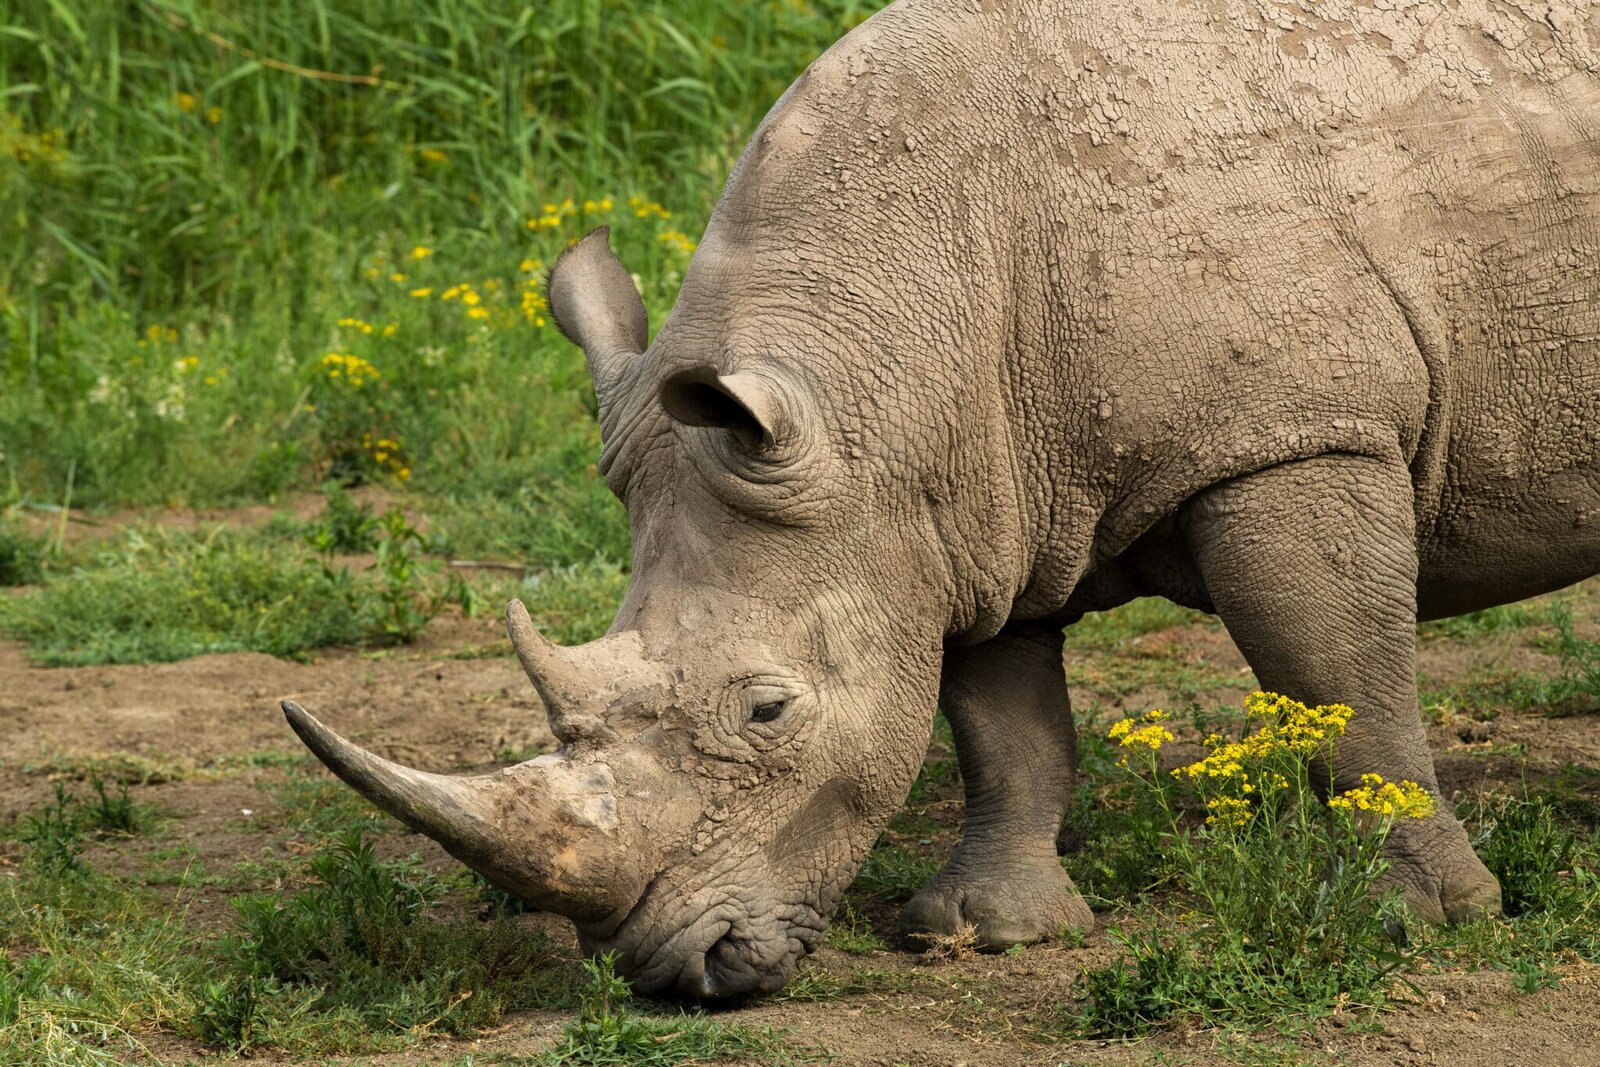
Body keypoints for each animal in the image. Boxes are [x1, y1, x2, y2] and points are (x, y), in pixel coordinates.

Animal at [282, 0, 1600, 997]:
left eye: (767, 711)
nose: (675, 971)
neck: (886, 355)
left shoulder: (1290, 436)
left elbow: (1336, 675)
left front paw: (1418, 918)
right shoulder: (957, 503)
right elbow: (1001, 723)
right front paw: (983, 930)